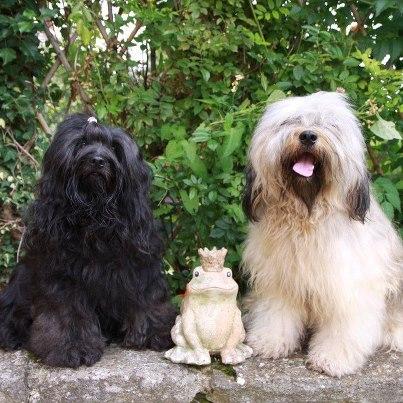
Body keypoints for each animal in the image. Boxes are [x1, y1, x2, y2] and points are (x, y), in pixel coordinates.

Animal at [0, 113, 177, 370]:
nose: (97, 161)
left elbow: (147, 297)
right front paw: (72, 347)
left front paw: (154, 332)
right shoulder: (63, 278)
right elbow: (68, 313)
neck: (95, 216)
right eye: (82, 143)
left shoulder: (138, 265)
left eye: (113, 148)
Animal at [243, 91, 403, 378]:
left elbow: (344, 327)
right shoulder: (280, 280)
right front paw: (270, 341)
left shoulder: (348, 286)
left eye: (329, 124)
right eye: (290, 122)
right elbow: (276, 313)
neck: (307, 216)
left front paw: (333, 358)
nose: (308, 136)